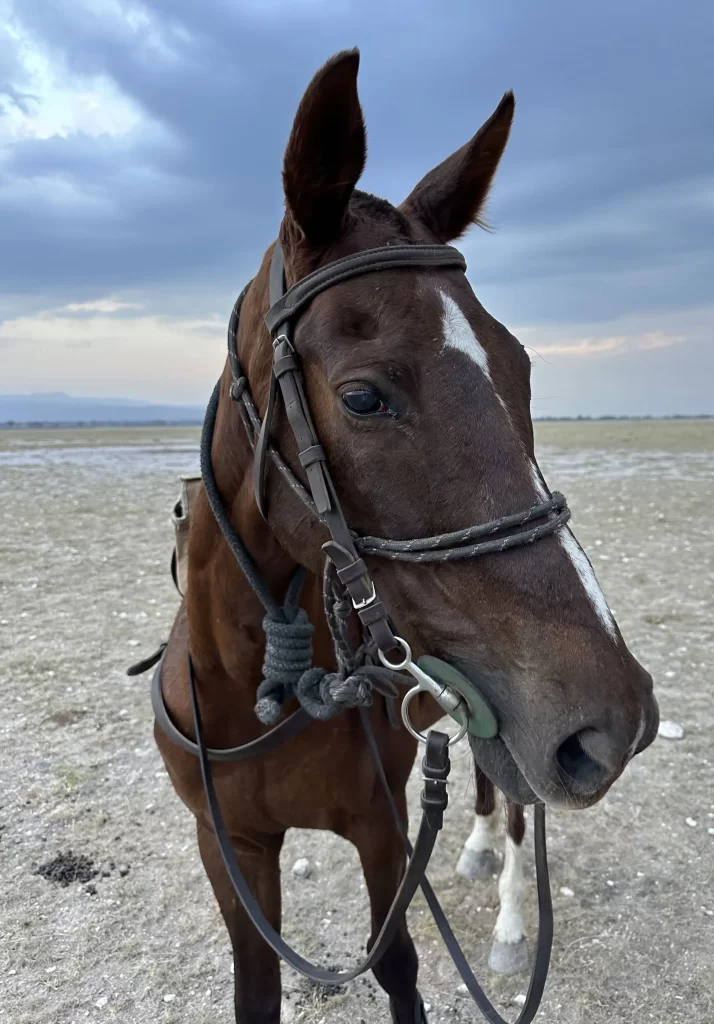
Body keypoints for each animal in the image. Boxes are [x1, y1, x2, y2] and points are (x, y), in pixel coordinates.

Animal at [152, 48, 659, 1024]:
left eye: (523, 369)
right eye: (361, 396)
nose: (614, 722)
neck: (261, 691)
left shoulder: (382, 835)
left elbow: (397, 968)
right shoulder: (227, 849)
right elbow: (255, 988)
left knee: (516, 797)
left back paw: (507, 912)